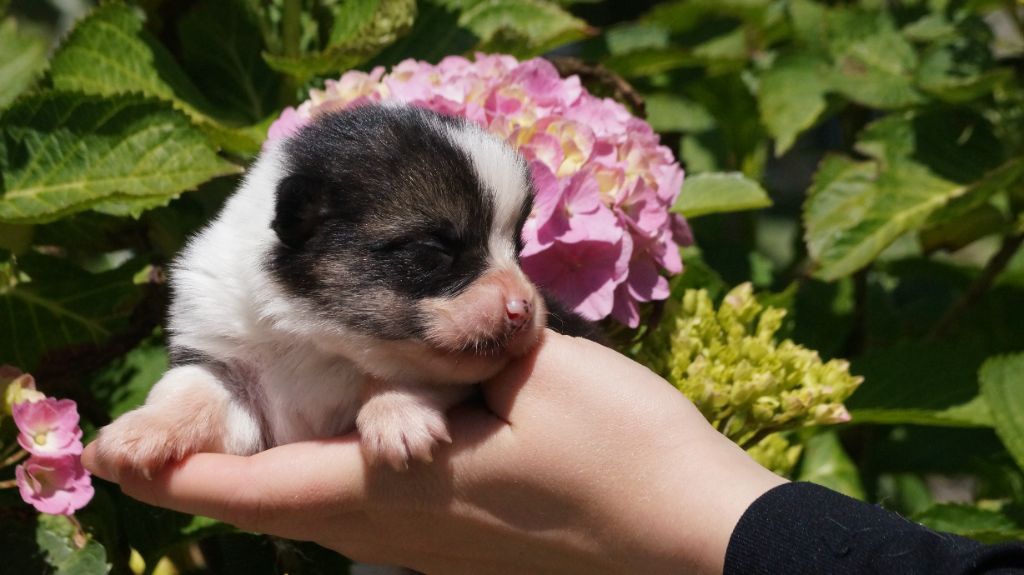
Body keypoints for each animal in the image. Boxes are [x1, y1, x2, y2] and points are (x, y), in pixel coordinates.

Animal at [97, 102, 552, 474]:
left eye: (519, 247)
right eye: (433, 251)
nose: (523, 309)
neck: (314, 337)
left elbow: (413, 372)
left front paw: (399, 415)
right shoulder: (222, 358)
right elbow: (192, 390)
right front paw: (143, 429)